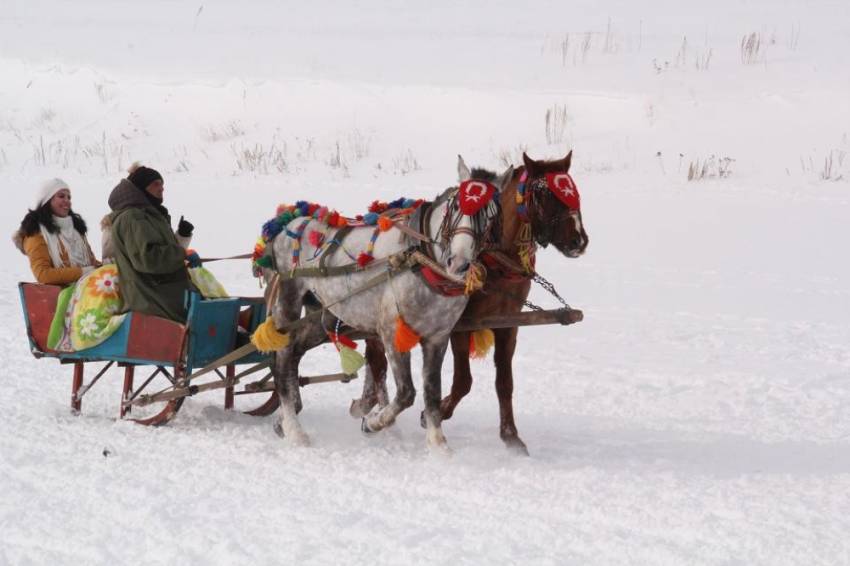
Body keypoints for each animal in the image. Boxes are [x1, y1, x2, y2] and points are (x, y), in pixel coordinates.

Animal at [354, 152, 588, 458]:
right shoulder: (459, 327)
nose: (579, 240)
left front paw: (511, 437)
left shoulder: (508, 325)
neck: (495, 261)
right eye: (543, 193)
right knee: (377, 357)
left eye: (574, 190)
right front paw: (436, 412)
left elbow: (504, 382)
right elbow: (463, 380)